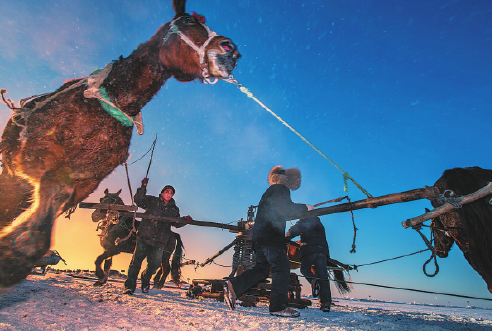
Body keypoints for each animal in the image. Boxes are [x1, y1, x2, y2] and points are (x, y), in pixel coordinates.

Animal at [0, 0, 238, 286]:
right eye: (188, 21)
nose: (230, 51)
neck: (109, 102)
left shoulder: (84, 184)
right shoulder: (36, 154)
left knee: (161, 266)